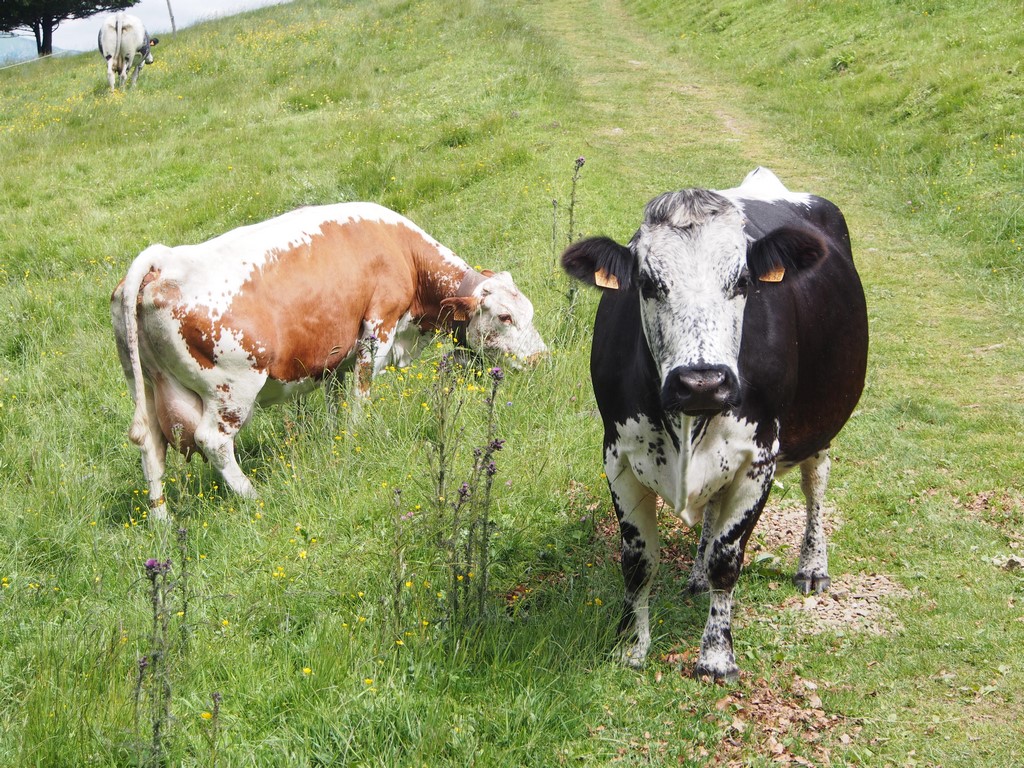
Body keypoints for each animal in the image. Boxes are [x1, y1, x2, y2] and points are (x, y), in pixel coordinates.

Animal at [111, 203, 547, 519]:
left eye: (528, 311)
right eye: (505, 317)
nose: (541, 358)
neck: (401, 252)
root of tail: (162, 260)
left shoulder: (337, 356)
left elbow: (336, 402)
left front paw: (337, 442)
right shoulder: (377, 329)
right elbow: (361, 396)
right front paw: (357, 439)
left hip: (147, 385)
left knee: (150, 444)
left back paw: (162, 520)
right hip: (232, 387)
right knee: (213, 441)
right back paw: (254, 497)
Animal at [561, 167, 868, 682]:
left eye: (742, 280)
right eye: (647, 282)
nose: (701, 383)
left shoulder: (758, 459)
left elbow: (729, 559)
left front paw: (717, 657)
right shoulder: (618, 457)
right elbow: (638, 562)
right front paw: (630, 647)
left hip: (821, 421)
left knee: (815, 485)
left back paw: (812, 564)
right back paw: (698, 574)